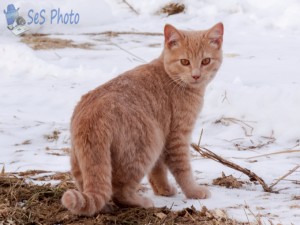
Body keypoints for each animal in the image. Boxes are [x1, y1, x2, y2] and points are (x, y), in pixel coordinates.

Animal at [62, 22, 224, 216]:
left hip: (80, 159)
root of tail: (93, 115)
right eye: (184, 62)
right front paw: (194, 191)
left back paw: (104, 207)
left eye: (205, 61)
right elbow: (183, 169)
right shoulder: (177, 137)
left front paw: (163, 190)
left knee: (91, 185)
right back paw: (141, 202)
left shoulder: (163, 135)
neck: (171, 77)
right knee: (120, 191)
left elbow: (158, 170)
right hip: (147, 145)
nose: (196, 75)